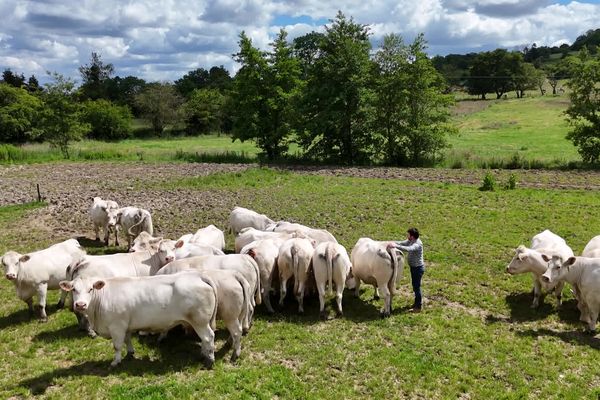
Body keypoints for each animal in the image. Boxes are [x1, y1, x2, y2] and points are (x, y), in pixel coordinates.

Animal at [58, 272, 217, 368]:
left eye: (91, 289)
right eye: (73, 289)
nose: (80, 305)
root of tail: (197, 275)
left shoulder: (117, 326)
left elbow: (117, 346)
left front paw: (115, 361)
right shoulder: (126, 325)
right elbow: (128, 340)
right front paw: (130, 353)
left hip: (199, 321)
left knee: (208, 337)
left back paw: (209, 360)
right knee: (204, 339)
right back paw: (203, 354)